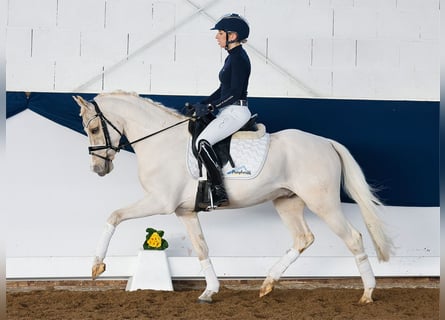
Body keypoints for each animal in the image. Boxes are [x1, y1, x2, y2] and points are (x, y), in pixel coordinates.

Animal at [73, 91, 392, 304]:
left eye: (93, 128)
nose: (98, 169)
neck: (161, 141)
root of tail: (326, 142)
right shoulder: (185, 211)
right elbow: (202, 248)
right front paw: (209, 291)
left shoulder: (160, 202)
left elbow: (114, 215)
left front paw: (97, 266)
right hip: (287, 202)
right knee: (303, 238)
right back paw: (267, 284)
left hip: (322, 203)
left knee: (353, 238)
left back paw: (367, 294)